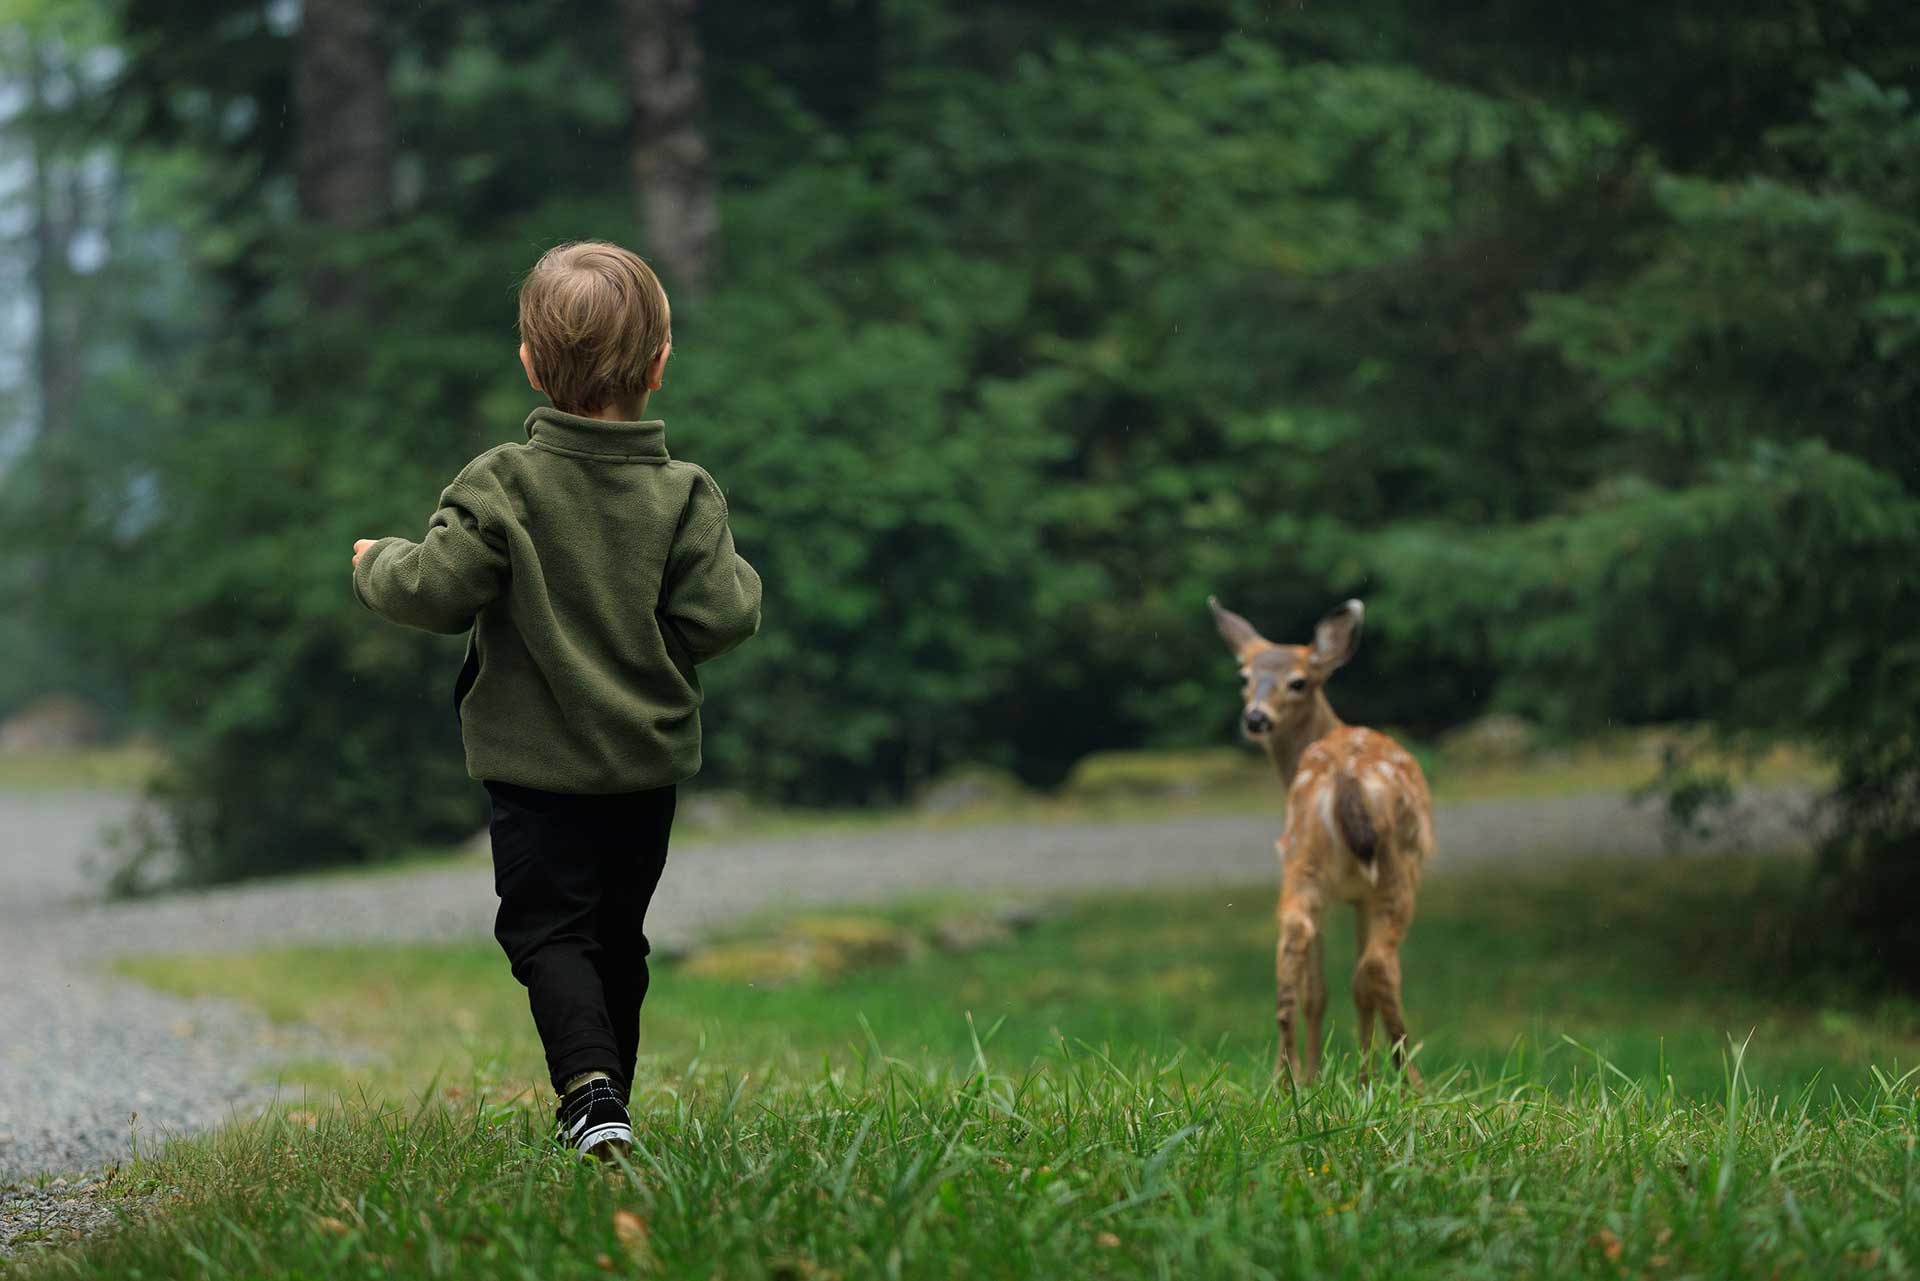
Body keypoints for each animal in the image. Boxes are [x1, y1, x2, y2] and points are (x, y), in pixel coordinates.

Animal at [1208, 596, 1435, 1086]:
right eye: (1244, 677)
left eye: (1298, 681)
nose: (1256, 718)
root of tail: (1345, 775)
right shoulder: (1361, 894)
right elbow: (1357, 983)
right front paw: (1365, 1078)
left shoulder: (1347, 891)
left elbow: (1332, 987)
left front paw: (1324, 1076)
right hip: (1398, 865)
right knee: (1379, 964)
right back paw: (1411, 1079)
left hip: (1302, 856)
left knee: (1292, 937)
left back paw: (1285, 1080)